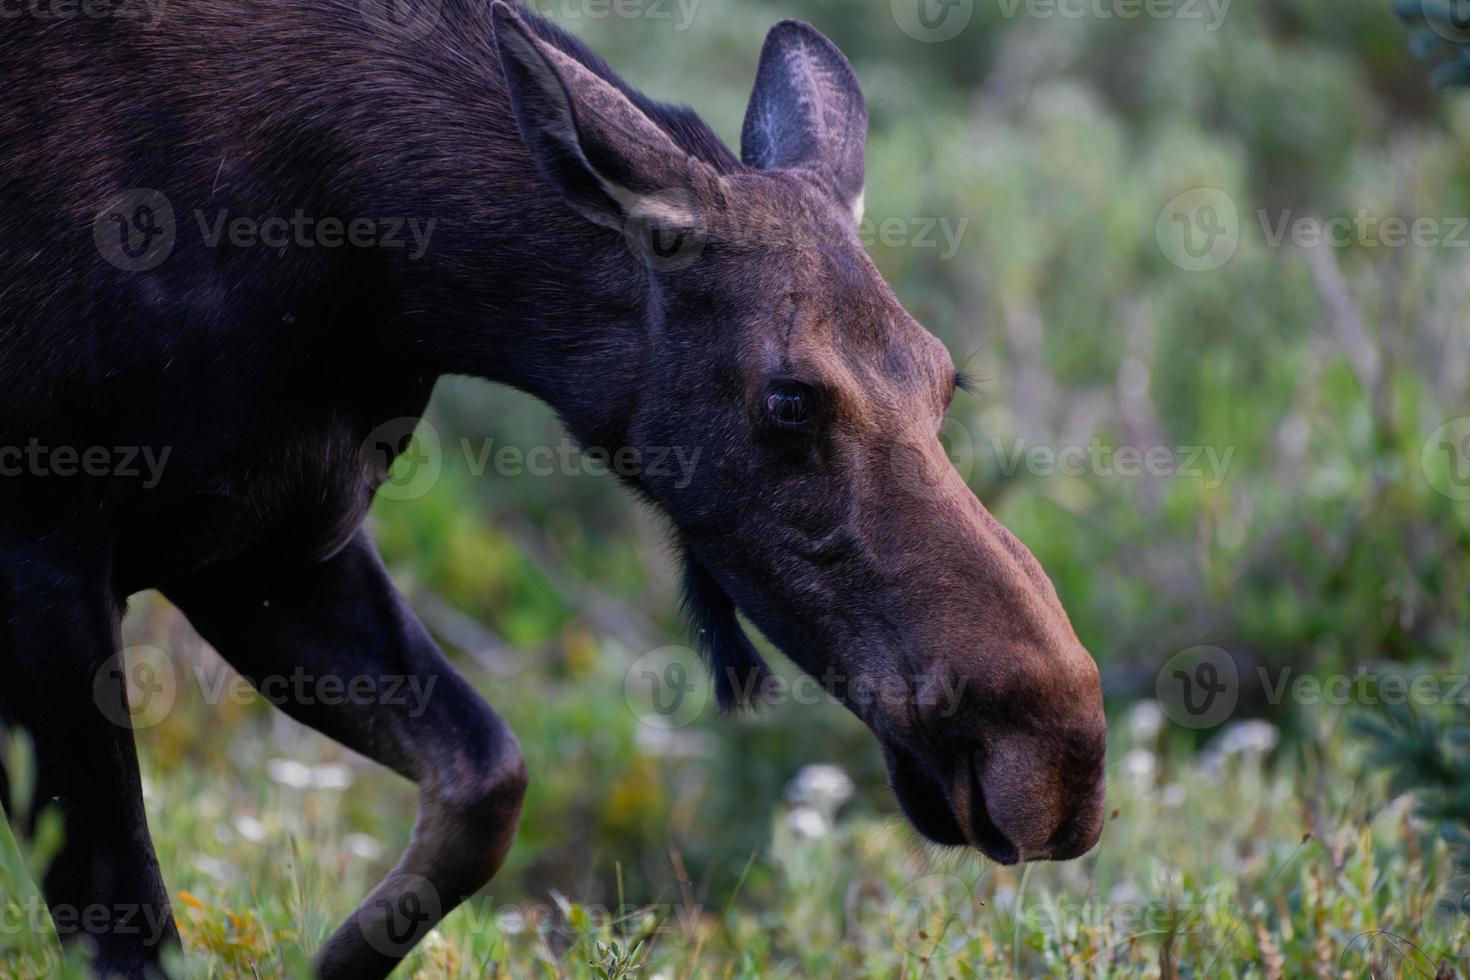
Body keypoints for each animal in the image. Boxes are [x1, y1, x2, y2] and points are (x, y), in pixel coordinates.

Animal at [0, 3, 1105, 975]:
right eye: (790, 397)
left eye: (946, 377)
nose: (1061, 758)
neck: (371, 282)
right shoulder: (46, 557)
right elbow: (131, 928)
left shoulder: (267, 548)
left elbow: (486, 782)